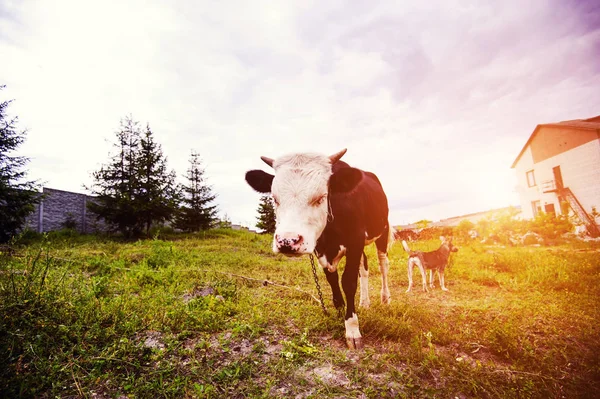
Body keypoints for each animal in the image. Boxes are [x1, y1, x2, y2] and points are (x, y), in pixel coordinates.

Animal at [245, 150, 394, 350]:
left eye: (321, 197)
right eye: (275, 199)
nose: (287, 241)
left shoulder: (355, 241)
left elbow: (348, 282)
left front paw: (352, 328)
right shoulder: (321, 249)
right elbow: (332, 279)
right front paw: (339, 309)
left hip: (383, 231)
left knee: (382, 263)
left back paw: (385, 297)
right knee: (364, 266)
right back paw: (364, 302)